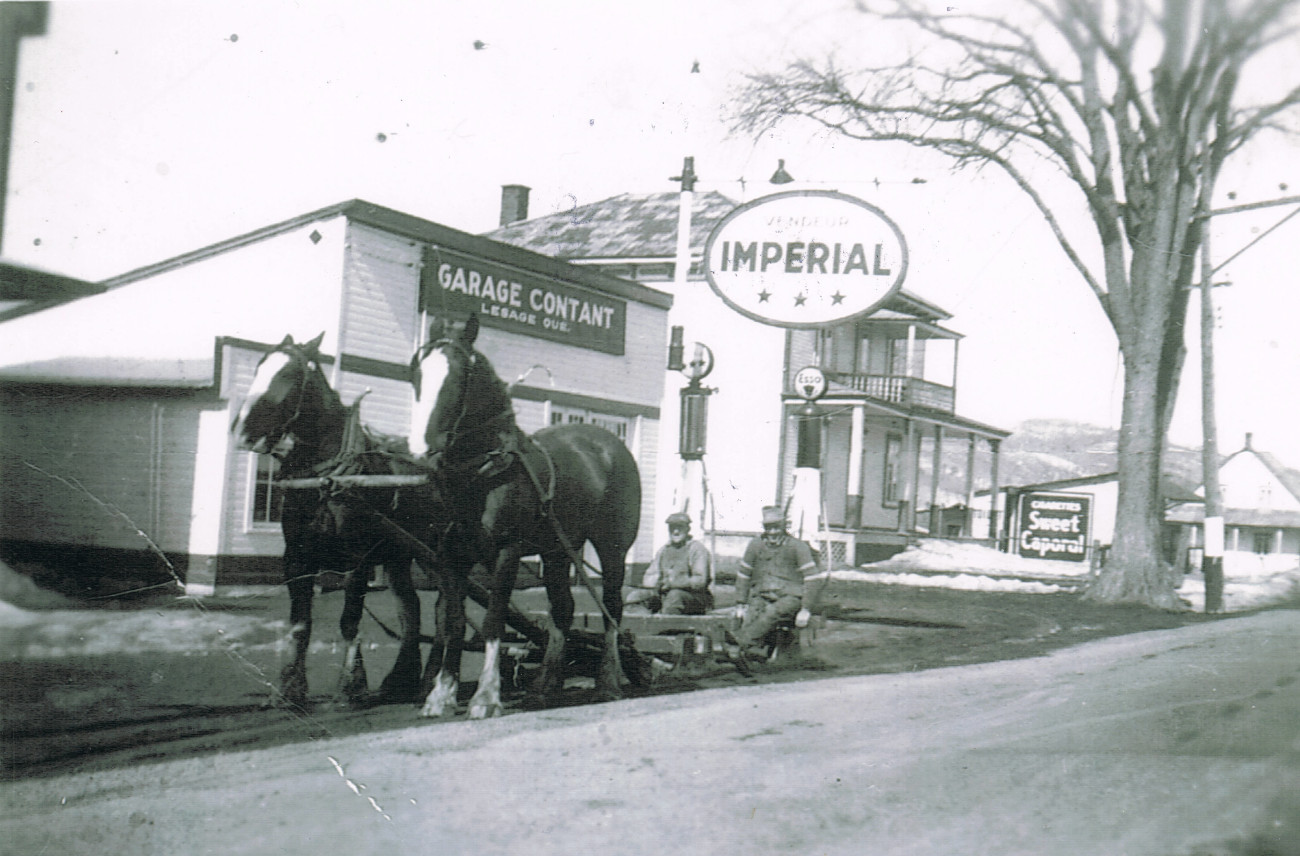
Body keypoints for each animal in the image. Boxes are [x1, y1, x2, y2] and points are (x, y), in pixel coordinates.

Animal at [231, 333, 439, 707]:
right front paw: (291, 689)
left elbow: (349, 621)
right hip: (399, 557)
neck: (326, 480)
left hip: (437, 556)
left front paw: (351, 685)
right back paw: (400, 680)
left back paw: (432, 679)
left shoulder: (358, 560)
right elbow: (301, 624)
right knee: (410, 607)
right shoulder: (296, 559)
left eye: (288, 375)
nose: (242, 430)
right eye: (258, 367)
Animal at [413, 312, 642, 712]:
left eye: (459, 377)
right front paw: (441, 695)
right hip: (558, 550)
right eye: (417, 374)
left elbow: (493, 620)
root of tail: (610, 443)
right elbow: (452, 623)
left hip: (612, 546)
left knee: (612, 607)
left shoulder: (507, 552)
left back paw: (609, 681)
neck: (480, 474)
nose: (422, 452)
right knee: (563, 608)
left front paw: (486, 696)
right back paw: (545, 684)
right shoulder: (450, 557)